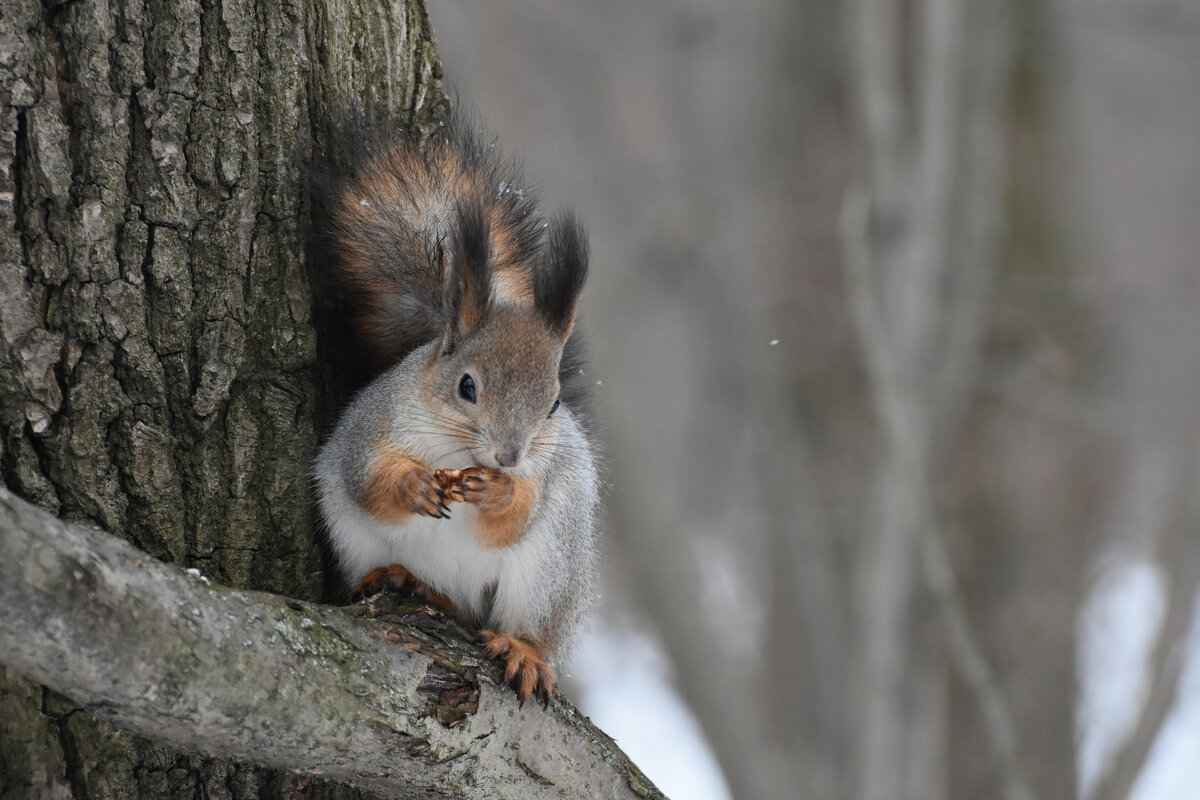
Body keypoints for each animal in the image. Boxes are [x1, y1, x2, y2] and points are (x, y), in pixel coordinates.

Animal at [316, 118, 604, 705]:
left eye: (554, 403)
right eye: (467, 386)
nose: (509, 456)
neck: (457, 452)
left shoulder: (541, 476)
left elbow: (513, 519)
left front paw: (499, 492)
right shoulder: (370, 425)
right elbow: (366, 479)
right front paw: (412, 485)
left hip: (551, 572)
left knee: (521, 623)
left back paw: (523, 652)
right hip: (356, 539)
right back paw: (406, 580)